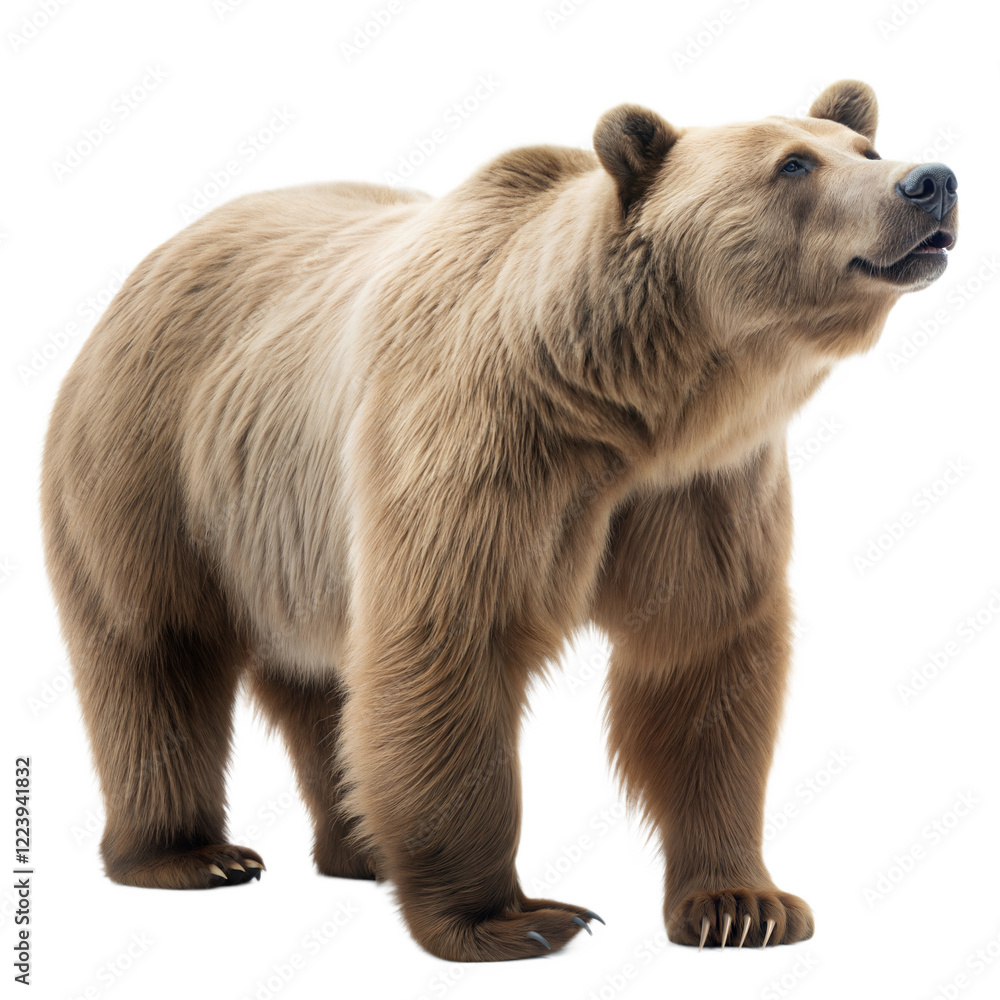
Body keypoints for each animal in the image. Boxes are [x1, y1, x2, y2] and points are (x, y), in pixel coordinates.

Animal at [40, 79, 958, 961]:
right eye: (793, 164)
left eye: (864, 146)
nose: (930, 180)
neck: (640, 406)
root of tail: (148, 264)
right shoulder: (489, 442)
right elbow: (451, 644)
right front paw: (513, 920)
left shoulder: (701, 489)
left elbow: (701, 662)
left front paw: (742, 906)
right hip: (152, 464)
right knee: (154, 647)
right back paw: (195, 854)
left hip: (286, 531)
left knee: (323, 683)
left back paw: (361, 845)